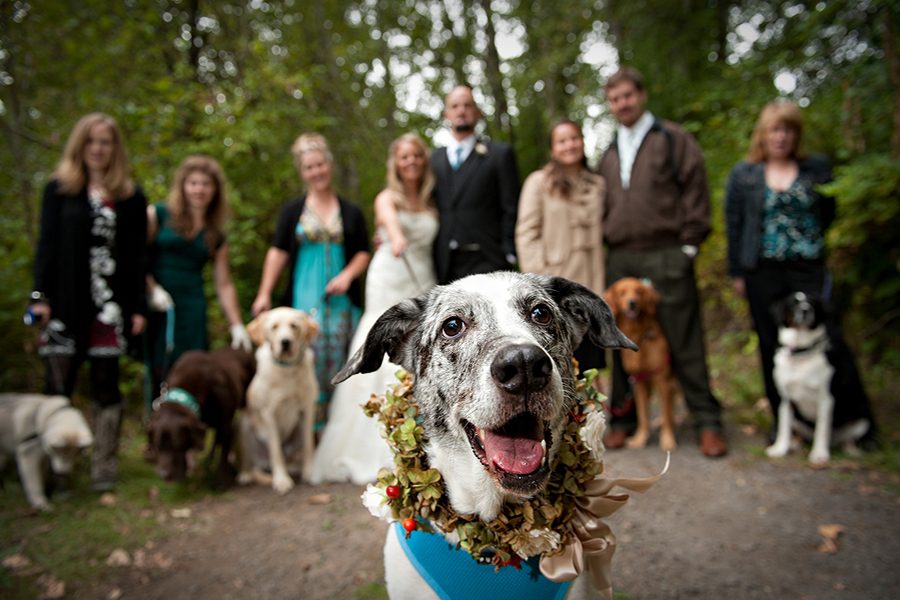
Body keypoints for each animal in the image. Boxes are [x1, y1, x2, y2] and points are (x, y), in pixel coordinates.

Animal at [145, 347, 255, 487]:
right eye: (158, 446)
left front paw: (221, 480)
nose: (164, 476)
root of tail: (240, 350)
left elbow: (224, 452)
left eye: (178, 446)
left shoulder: (225, 424)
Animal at [239, 307, 319, 495]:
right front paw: (281, 480)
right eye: (274, 327)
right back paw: (245, 474)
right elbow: (276, 450)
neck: (287, 370)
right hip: (244, 425)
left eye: (294, 326)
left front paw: (310, 472)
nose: (285, 342)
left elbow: (308, 445)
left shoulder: (307, 409)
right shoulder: (269, 413)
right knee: (250, 459)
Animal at [604, 277, 678, 450]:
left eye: (639, 291)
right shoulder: (639, 382)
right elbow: (643, 415)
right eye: (622, 293)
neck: (639, 335)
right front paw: (640, 438)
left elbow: (666, 411)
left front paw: (668, 440)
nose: (632, 303)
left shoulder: (662, 379)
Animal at [767, 292, 870, 465]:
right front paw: (780, 449)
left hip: (862, 420)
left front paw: (819, 454)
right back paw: (794, 444)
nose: (805, 310)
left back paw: (852, 451)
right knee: (797, 432)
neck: (800, 354)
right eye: (793, 303)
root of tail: (834, 441)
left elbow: (821, 429)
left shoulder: (826, 398)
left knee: (847, 439)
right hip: (797, 418)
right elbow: (783, 427)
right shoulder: (784, 399)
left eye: (813, 303)